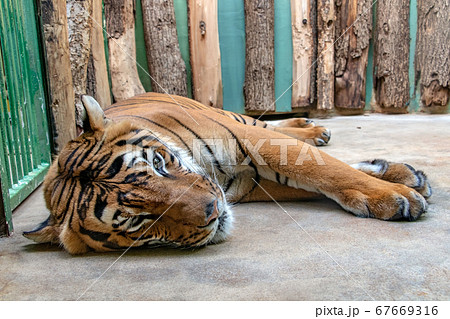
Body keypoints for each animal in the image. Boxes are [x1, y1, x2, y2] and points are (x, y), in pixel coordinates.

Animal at [22, 92, 432, 255]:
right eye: (138, 222)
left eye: (158, 164)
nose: (213, 211)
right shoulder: (247, 183)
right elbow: (312, 180)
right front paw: (396, 182)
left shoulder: (250, 141)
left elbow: (322, 168)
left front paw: (393, 194)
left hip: (235, 119)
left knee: (273, 126)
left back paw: (313, 128)